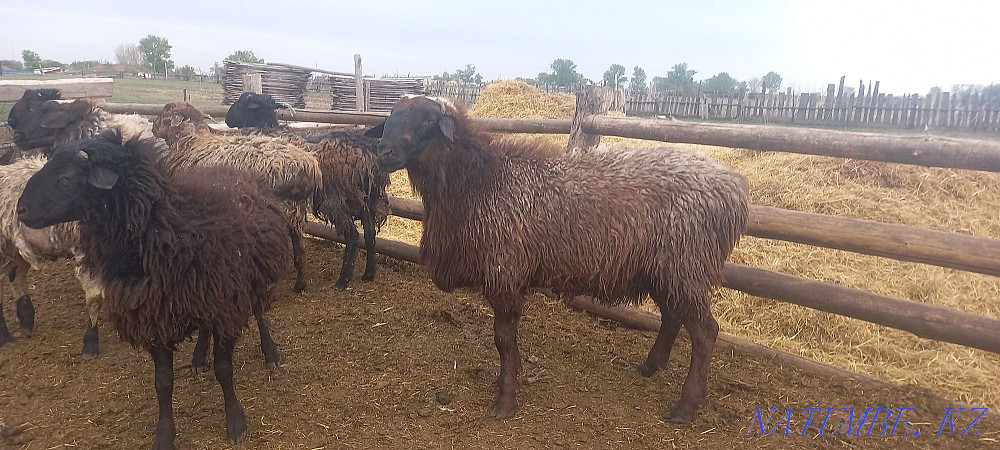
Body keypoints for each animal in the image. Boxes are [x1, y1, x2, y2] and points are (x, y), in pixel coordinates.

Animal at [0, 156, 104, 358]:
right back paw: (5, 337)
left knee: (17, 277)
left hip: (17, 247)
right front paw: (90, 343)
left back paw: (26, 319)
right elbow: (95, 299)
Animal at [17, 131, 291, 448]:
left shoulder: (224, 307)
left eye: (66, 179)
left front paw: (235, 422)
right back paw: (199, 355)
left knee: (259, 313)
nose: (21, 210)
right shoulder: (154, 316)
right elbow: (163, 383)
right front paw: (164, 434)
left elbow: (224, 370)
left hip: (253, 278)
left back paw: (270, 353)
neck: (164, 228)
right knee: (205, 328)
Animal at [152, 102, 322, 293]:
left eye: (165, 114)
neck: (192, 143)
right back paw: (300, 284)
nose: (152, 127)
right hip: (297, 211)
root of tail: (309, 165)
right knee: (300, 249)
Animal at [224, 93, 390, 288]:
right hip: (365, 198)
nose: (227, 119)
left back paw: (343, 280)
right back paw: (369, 274)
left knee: (353, 236)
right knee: (370, 235)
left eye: (241, 104)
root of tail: (365, 151)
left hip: (336, 199)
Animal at [365, 95, 749, 423]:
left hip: (686, 264)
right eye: (390, 117)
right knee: (672, 317)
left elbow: (503, 339)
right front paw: (510, 377)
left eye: (428, 120)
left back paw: (686, 407)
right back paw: (649, 368)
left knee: (705, 332)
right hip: (665, 268)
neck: (479, 180)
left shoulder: (504, 272)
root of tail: (735, 187)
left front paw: (505, 400)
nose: (383, 152)